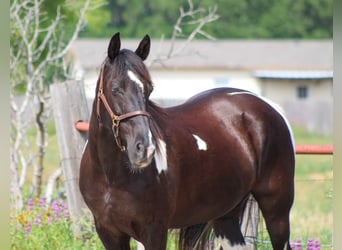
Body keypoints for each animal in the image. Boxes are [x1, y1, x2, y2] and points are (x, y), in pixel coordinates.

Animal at [79, 33, 296, 250]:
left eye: (149, 89)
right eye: (115, 88)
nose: (144, 149)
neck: (111, 177)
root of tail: (268, 105)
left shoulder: (154, 230)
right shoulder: (109, 232)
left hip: (277, 211)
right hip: (226, 214)